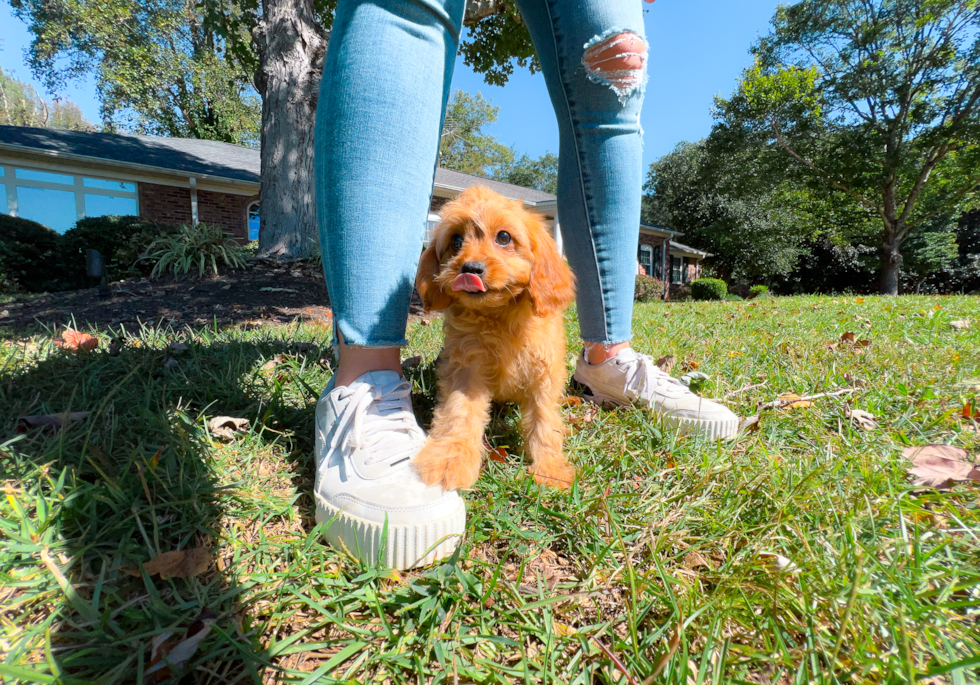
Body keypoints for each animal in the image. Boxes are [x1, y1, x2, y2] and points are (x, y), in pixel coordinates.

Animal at [412, 184, 576, 488]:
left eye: (503, 237)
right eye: (456, 240)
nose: (470, 269)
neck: (499, 315)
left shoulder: (544, 372)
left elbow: (544, 419)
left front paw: (550, 470)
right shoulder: (466, 368)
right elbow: (460, 411)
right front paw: (449, 460)